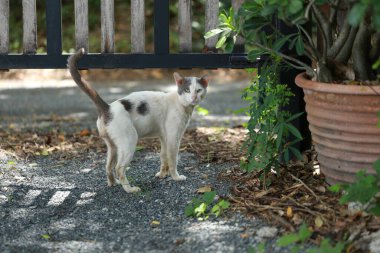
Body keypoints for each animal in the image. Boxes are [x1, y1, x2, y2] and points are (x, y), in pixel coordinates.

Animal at [68, 48, 211, 193]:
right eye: (187, 90)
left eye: (198, 90)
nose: (193, 97)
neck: (181, 104)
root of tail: (108, 107)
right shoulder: (173, 138)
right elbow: (173, 159)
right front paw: (175, 177)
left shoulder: (164, 137)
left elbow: (163, 157)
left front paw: (162, 175)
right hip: (129, 142)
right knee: (119, 168)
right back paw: (129, 189)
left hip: (112, 146)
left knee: (108, 166)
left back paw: (114, 183)